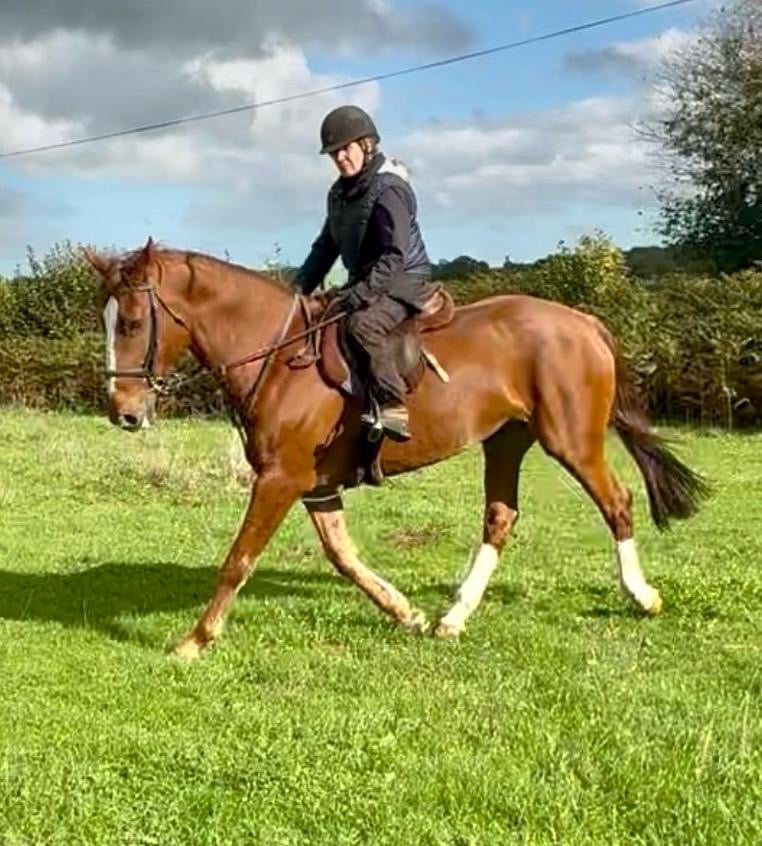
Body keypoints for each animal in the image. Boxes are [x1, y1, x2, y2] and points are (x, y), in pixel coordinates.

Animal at [84, 238, 709, 660]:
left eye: (133, 322)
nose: (123, 412)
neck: (278, 357)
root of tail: (583, 323)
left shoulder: (281, 479)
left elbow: (238, 559)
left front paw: (195, 640)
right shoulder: (314, 486)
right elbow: (343, 556)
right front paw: (404, 613)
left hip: (571, 441)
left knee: (616, 503)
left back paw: (642, 596)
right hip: (507, 440)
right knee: (500, 517)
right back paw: (453, 618)